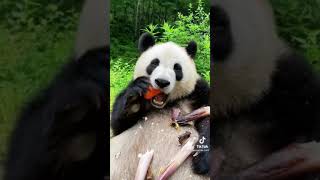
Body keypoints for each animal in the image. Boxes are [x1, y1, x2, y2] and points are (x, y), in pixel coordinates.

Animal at [111, 32, 211, 179]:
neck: (164, 105)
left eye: (177, 68)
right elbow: (119, 125)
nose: (162, 82)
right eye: (154, 63)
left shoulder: (197, 92)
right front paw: (134, 96)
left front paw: (202, 160)